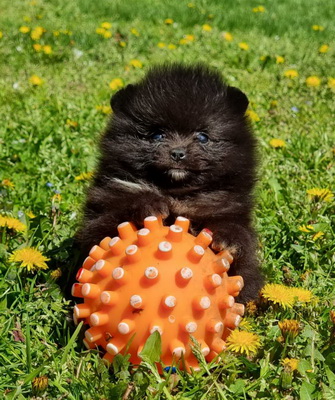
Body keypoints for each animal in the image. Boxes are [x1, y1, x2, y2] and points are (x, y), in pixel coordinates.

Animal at [77, 63, 264, 304]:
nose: (177, 153)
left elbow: (241, 245)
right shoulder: (104, 205)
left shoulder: (229, 207)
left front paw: (228, 238)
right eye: (157, 135)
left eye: (202, 137)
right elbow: (104, 230)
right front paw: (148, 205)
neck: (177, 195)